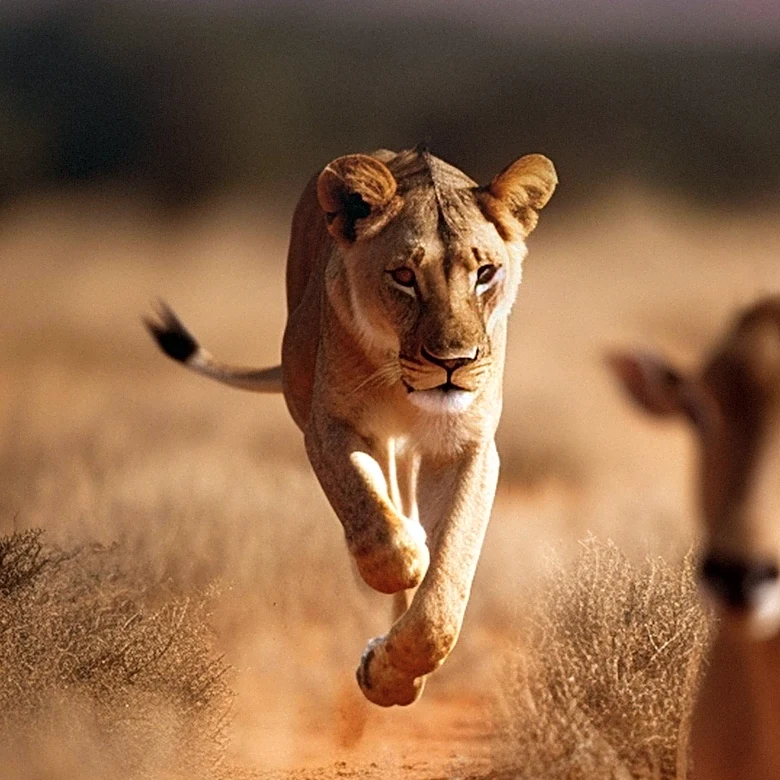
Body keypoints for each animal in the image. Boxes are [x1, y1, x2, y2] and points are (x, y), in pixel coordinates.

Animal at [146, 146, 557, 706]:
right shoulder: (328, 425)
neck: (401, 383)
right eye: (403, 276)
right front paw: (407, 558)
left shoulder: (468, 447)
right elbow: (378, 527)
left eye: (486, 273)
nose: (454, 362)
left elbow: (444, 592)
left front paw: (390, 676)